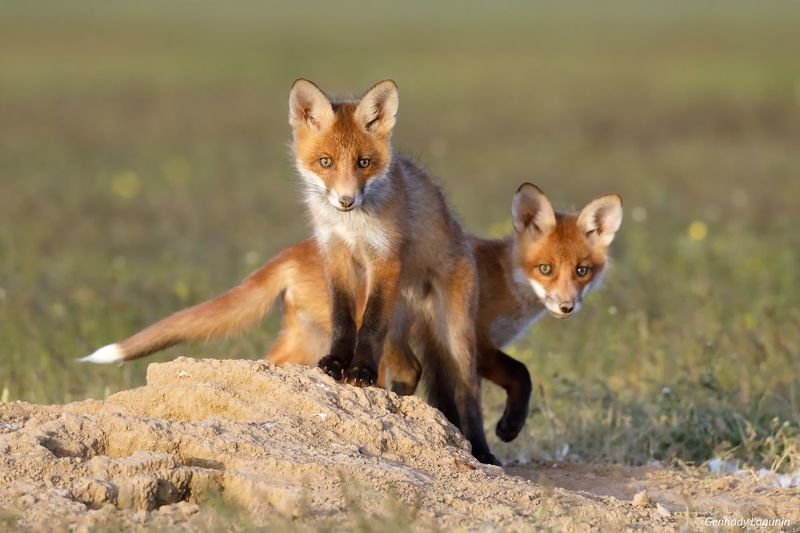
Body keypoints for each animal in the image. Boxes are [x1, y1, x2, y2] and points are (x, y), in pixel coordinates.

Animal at [81, 182, 623, 451]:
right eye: (545, 268)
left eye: (582, 270)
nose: (566, 305)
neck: (502, 277)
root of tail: (301, 249)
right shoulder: (470, 340)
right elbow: (519, 375)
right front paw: (504, 432)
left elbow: (467, 392)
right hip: (378, 336)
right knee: (398, 369)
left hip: (308, 342)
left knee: (276, 364)